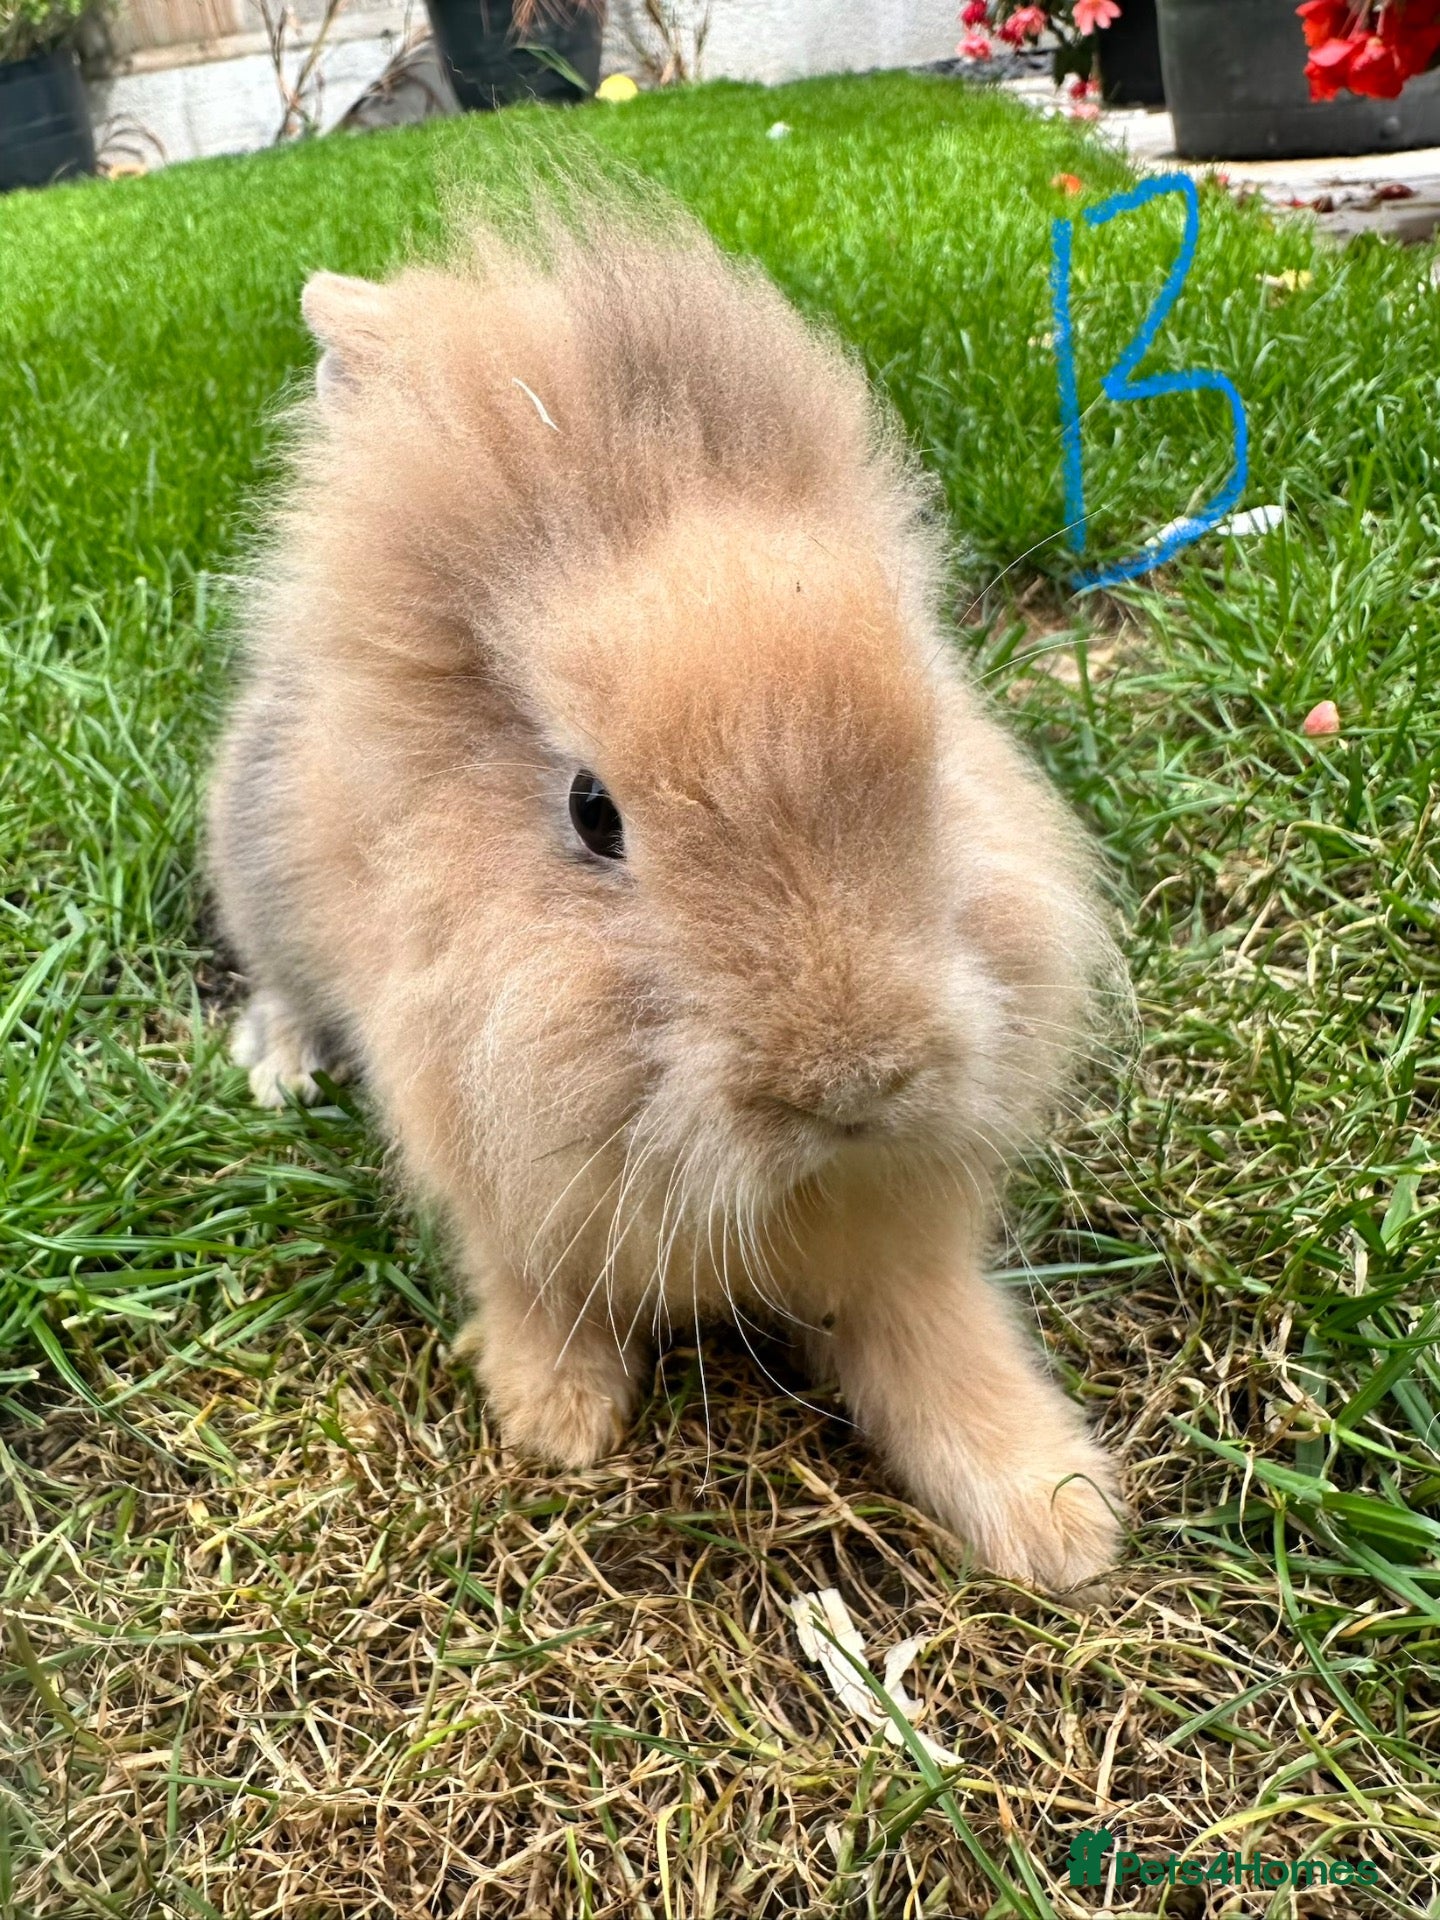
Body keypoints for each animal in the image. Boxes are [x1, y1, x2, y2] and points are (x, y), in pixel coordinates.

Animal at [206, 203, 1127, 1591]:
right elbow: (529, 1287)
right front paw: (556, 1419)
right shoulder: (491, 1163)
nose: (854, 1083)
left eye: (930, 746)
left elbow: (937, 1343)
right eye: (595, 813)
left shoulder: (900, 1235)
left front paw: (1059, 1521)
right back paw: (280, 1062)